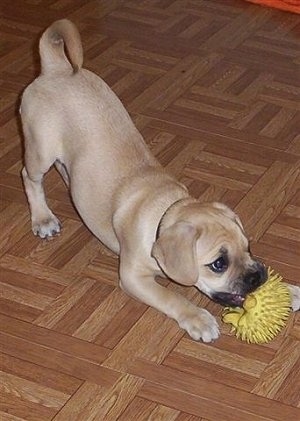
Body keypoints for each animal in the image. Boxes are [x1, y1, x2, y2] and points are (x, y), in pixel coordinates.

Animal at [19, 20, 298, 342]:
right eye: (218, 264)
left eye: (249, 246)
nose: (257, 275)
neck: (166, 211)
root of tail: (57, 67)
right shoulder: (132, 277)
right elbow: (171, 296)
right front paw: (198, 319)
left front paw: (287, 290)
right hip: (40, 149)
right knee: (29, 176)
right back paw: (43, 218)